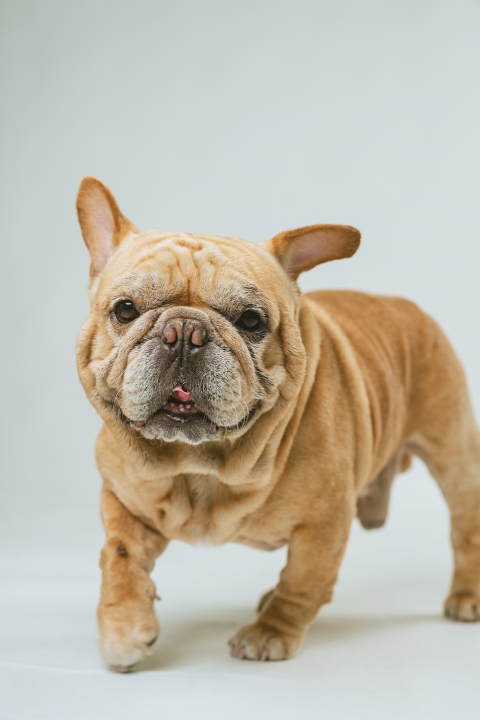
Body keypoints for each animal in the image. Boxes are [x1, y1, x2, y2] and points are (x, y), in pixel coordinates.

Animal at [76, 177, 480, 672]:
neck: (200, 464)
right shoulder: (122, 499)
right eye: (126, 310)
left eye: (251, 320)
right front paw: (123, 627)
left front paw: (271, 631)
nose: (185, 332)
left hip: (454, 454)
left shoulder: (324, 524)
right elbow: (119, 556)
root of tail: (409, 307)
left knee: (465, 526)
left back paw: (466, 596)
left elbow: (302, 581)